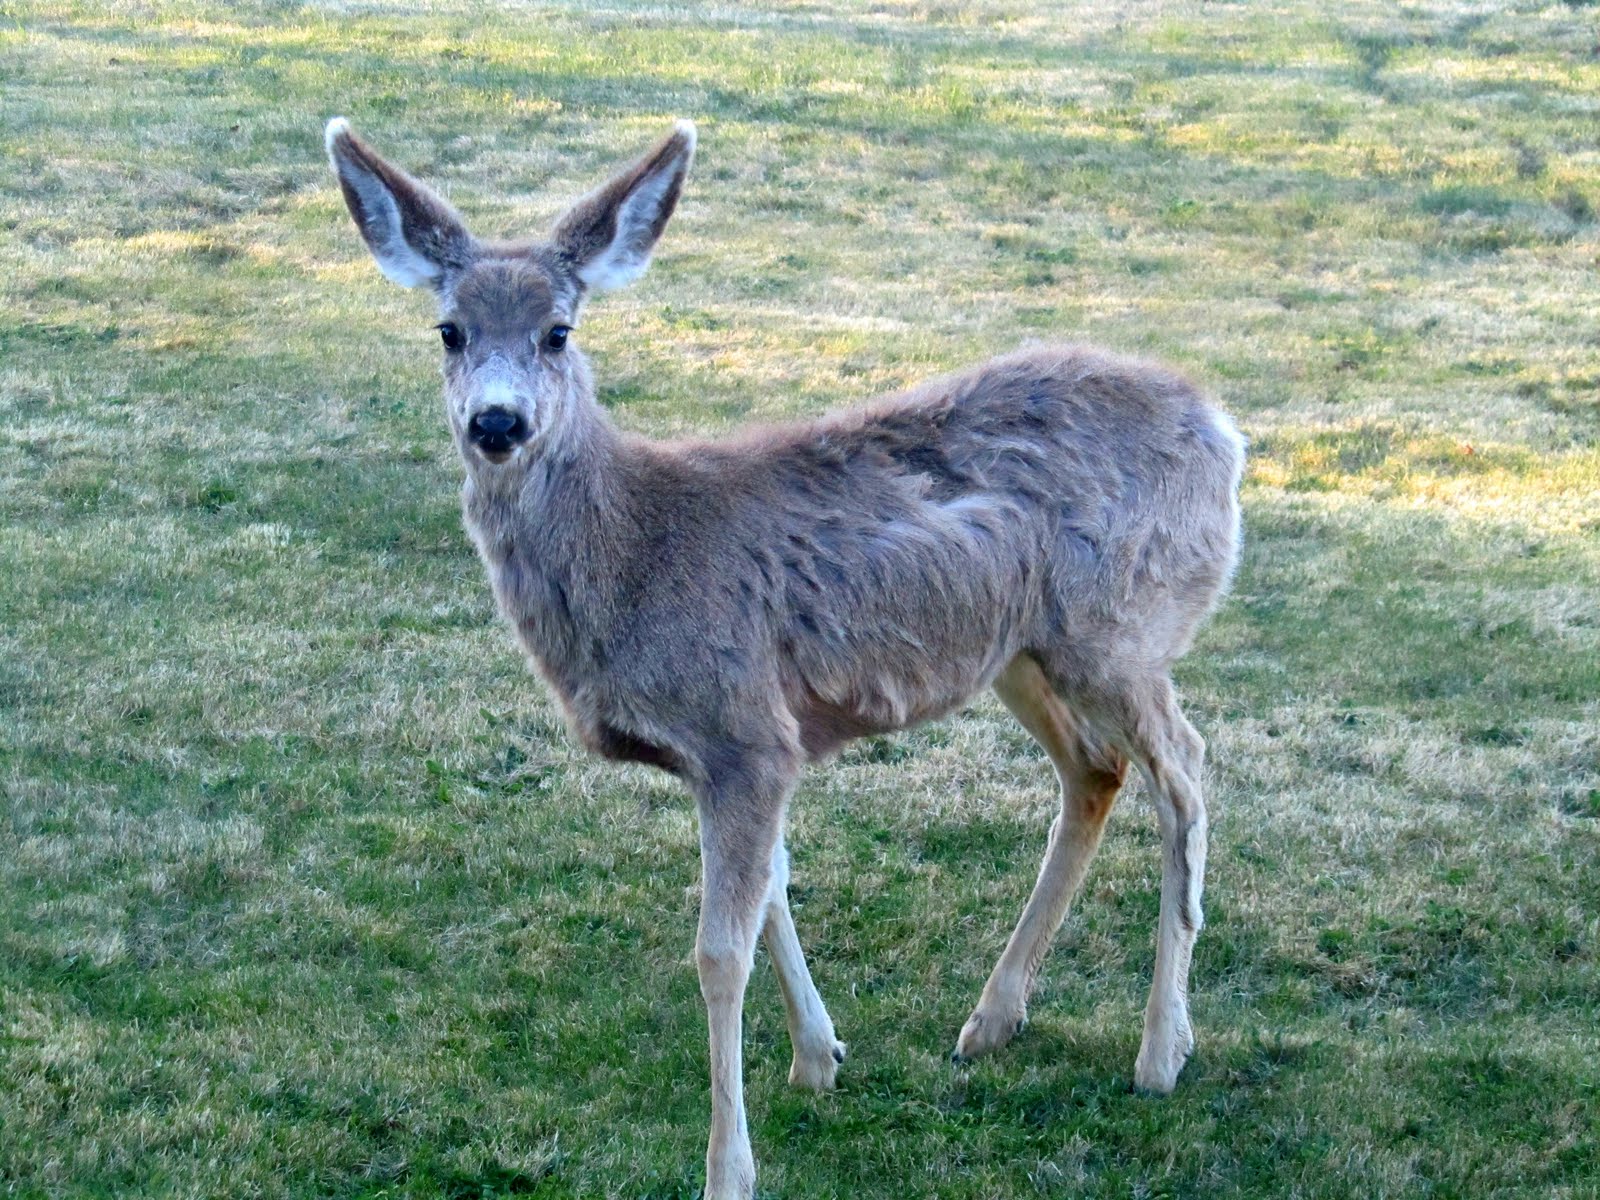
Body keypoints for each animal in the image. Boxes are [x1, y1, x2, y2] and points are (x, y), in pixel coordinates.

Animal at [325, 116, 1244, 1200]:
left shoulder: (743, 727)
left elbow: (719, 950)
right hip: (1025, 650)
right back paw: (991, 1019)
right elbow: (773, 891)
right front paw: (819, 1056)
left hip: (1122, 627)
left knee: (1183, 771)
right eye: (448, 330)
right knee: (1097, 770)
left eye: (559, 329)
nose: (498, 423)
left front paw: (728, 1167)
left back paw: (1161, 1049)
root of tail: (1225, 433)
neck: (638, 553)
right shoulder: (746, 745)